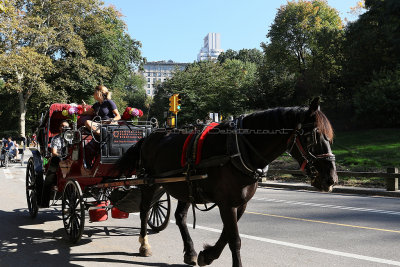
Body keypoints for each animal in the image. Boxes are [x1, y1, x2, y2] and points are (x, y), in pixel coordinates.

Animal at [116, 98, 338, 267]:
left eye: (330, 136)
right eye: (313, 136)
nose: (331, 179)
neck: (239, 150)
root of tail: (150, 136)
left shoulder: (239, 203)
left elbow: (227, 234)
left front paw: (207, 255)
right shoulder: (226, 203)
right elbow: (235, 240)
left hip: (183, 186)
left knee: (180, 217)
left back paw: (190, 251)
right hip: (150, 182)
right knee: (145, 210)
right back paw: (144, 244)